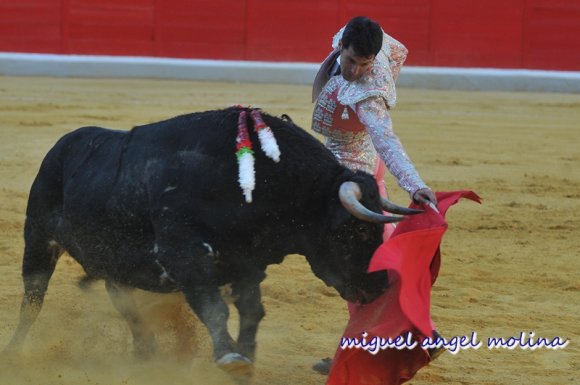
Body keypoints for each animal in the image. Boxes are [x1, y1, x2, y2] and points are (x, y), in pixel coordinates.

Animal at [5, 106, 422, 376]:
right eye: (358, 231)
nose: (380, 286)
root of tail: (62, 146)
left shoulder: (246, 263)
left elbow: (252, 311)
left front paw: (245, 355)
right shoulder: (185, 258)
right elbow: (213, 308)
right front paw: (230, 357)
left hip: (113, 263)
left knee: (123, 303)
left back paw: (145, 354)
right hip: (38, 238)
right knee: (32, 300)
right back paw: (14, 352)